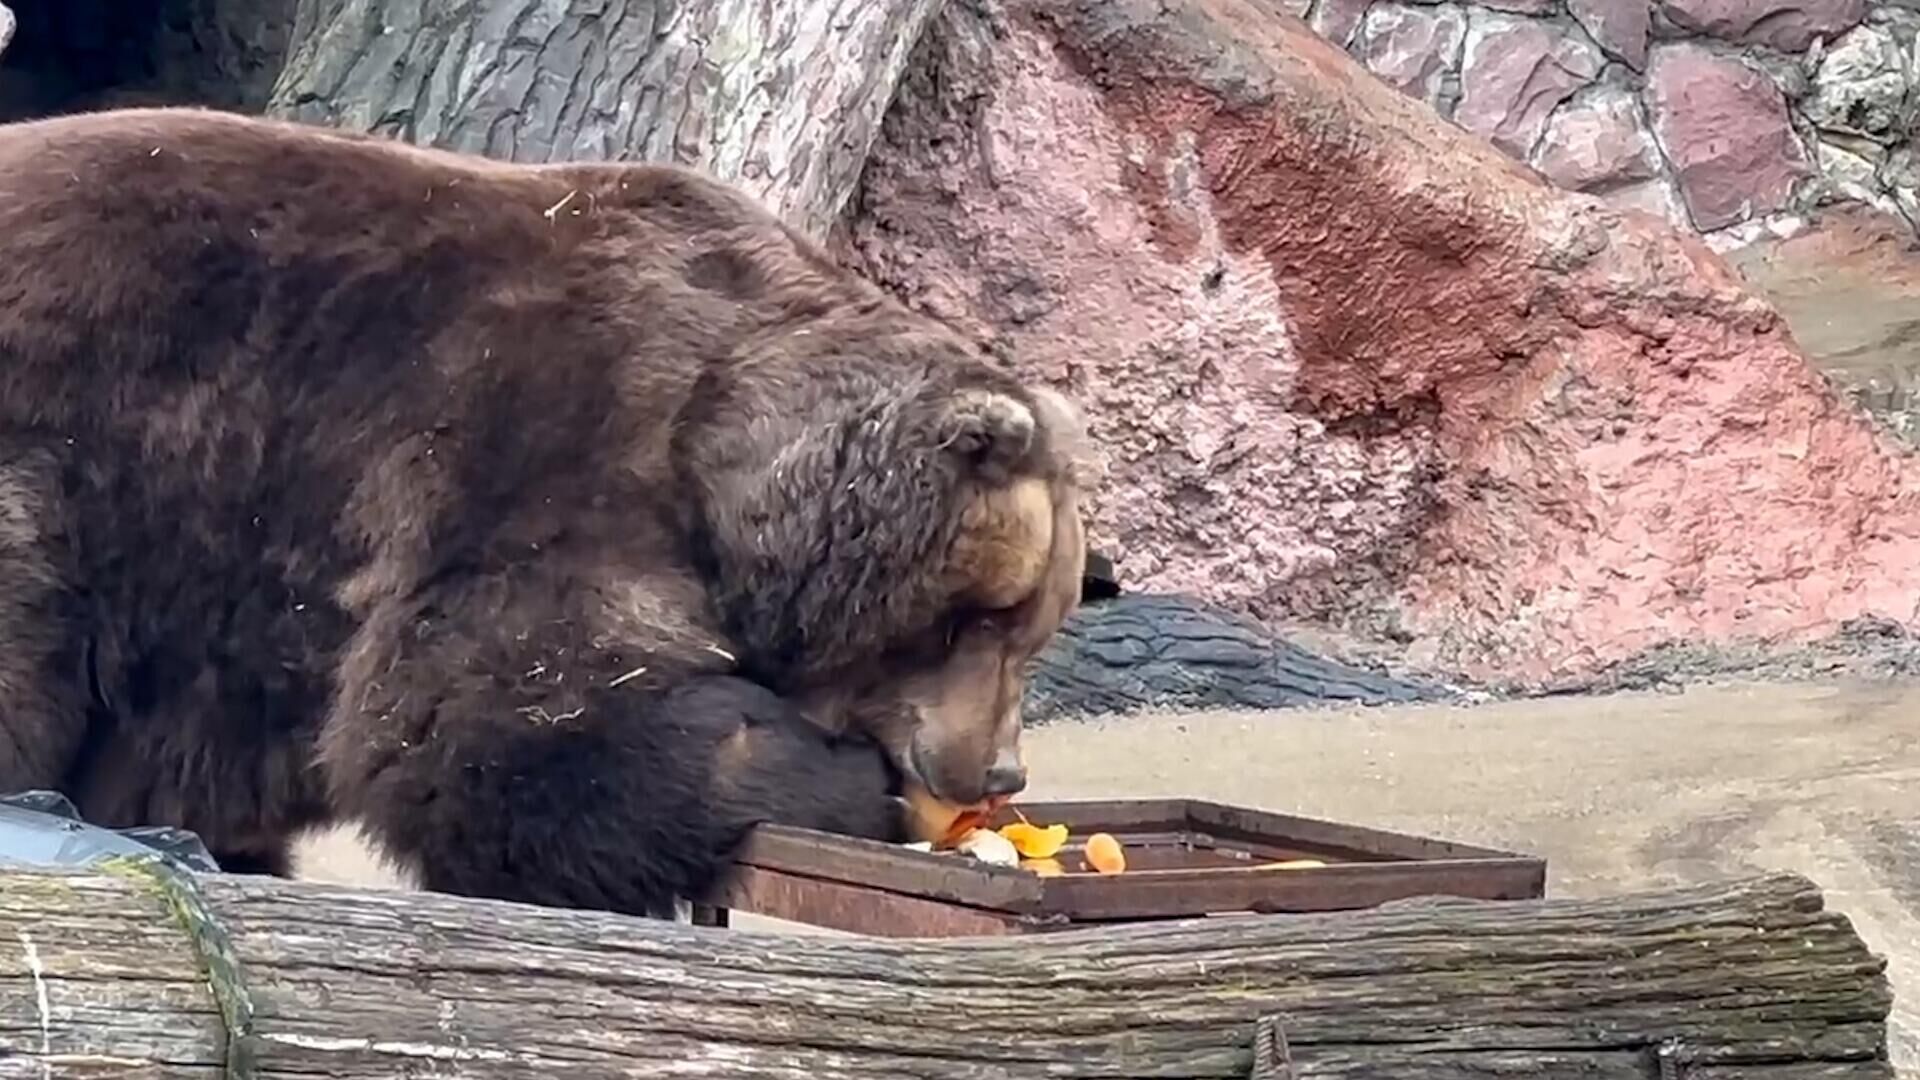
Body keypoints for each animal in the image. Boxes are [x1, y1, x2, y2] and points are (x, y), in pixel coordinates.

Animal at [0, 107, 1090, 914]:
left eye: (1034, 632)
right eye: (981, 619)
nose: (998, 772)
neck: (722, 456)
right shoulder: (551, 434)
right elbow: (512, 711)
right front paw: (843, 781)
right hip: (58, 454)